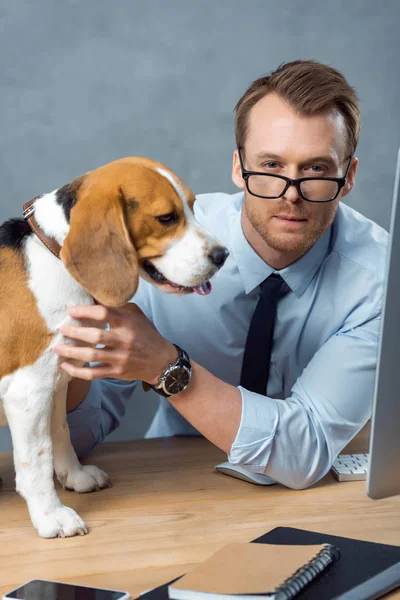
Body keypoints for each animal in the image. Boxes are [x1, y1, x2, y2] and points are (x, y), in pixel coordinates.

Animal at [0, 158, 228, 540]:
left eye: (193, 207)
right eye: (167, 217)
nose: (223, 255)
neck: (52, 254)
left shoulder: (57, 380)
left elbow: (61, 433)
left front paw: (75, 477)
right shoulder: (30, 391)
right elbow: (38, 457)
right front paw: (51, 515)